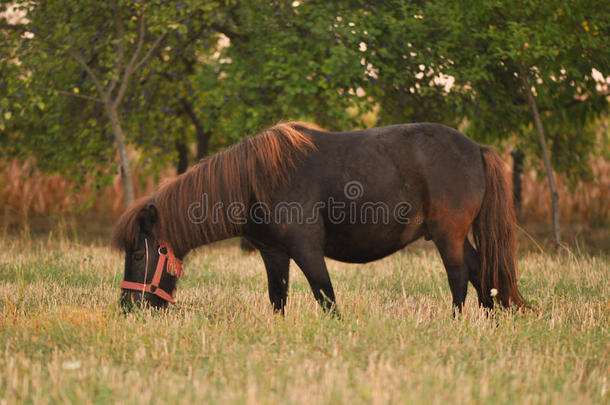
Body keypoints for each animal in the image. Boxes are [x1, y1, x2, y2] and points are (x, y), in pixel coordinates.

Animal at [111, 121, 524, 314]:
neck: (258, 179)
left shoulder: (307, 251)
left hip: (447, 236)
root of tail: (477, 148)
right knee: (482, 275)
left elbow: (326, 297)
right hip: (456, 237)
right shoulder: (273, 253)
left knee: (459, 280)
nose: (128, 308)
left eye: (138, 253)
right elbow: (278, 298)